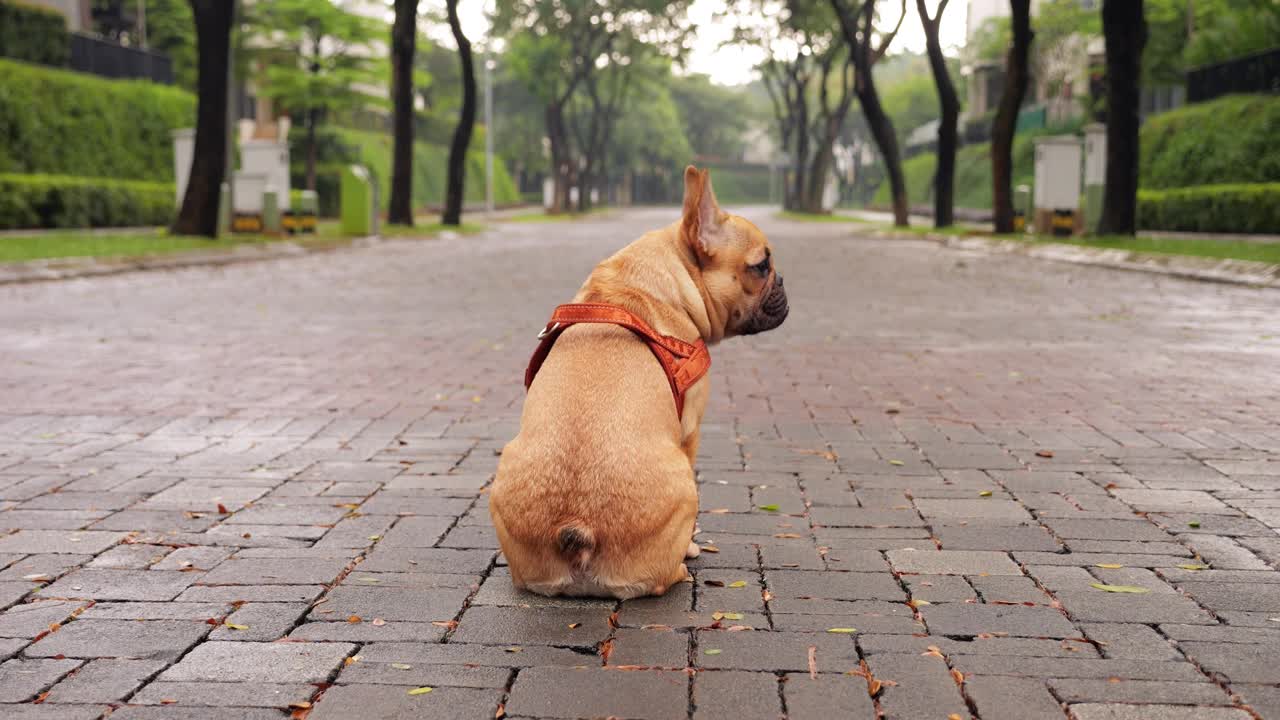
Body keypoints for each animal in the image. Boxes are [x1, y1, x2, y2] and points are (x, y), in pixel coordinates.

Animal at [488, 165, 788, 597]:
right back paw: (682, 564)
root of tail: (576, 526)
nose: (782, 281)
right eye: (761, 266)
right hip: (683, 482)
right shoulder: (690, 429)